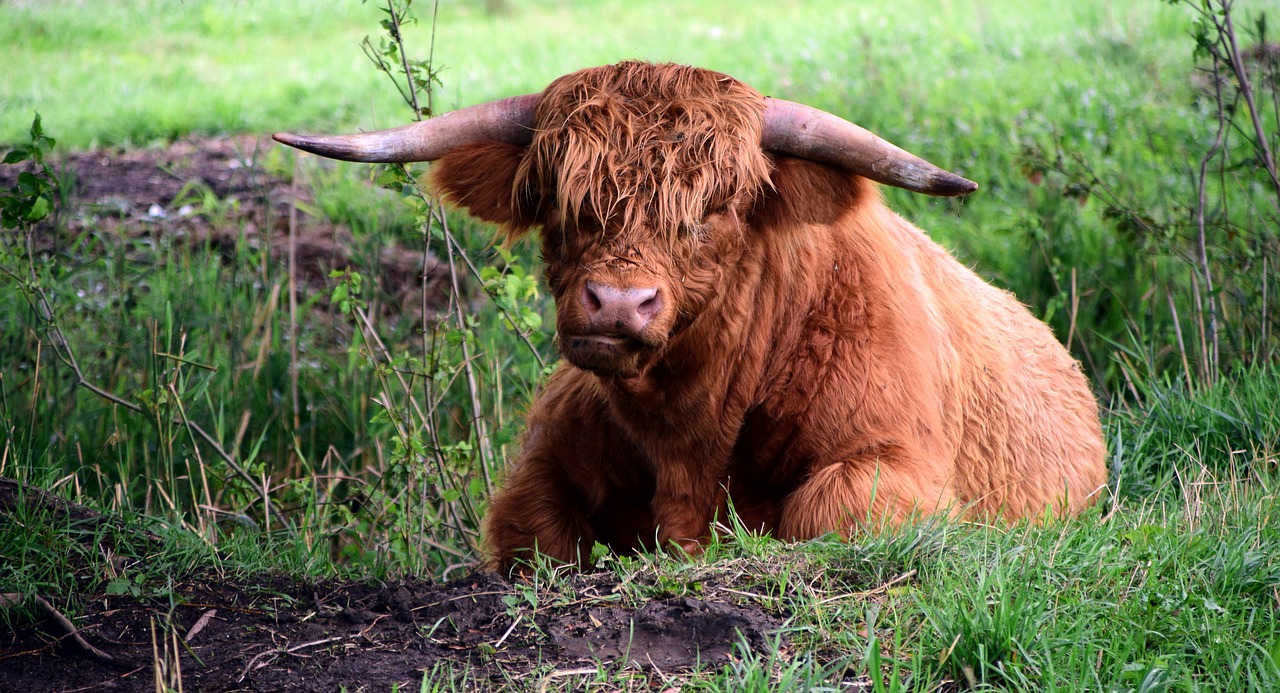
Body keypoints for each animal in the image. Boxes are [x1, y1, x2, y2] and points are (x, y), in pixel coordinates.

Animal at [275, 59, 1105, 571]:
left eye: (715, 207)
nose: (617, 303)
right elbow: (537, 533)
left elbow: (825, 510)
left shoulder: (898, 465)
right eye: (561, 198)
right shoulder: (539, 469)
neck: (690, 430)